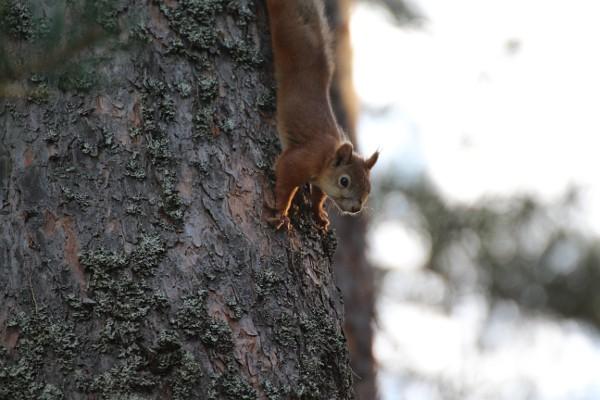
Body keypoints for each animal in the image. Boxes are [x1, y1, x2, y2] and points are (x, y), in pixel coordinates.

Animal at [264, 0, 378, 231]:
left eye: (369, 188)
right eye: (344, 181)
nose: (356, 208)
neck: (327, 157)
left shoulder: (319, 181)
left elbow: (318, 196)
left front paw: (318, 214)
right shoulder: (304, 158)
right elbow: (285, 178)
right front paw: (281, 213)